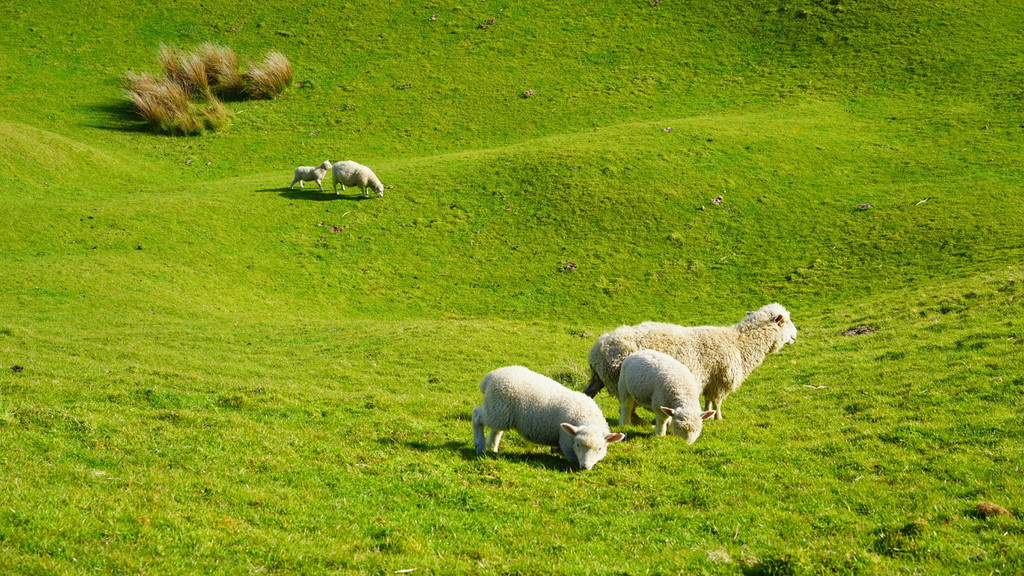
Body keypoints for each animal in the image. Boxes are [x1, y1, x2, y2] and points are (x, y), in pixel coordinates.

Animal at [471, 364, 622, 469]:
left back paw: (492, 447)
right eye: (578, 445)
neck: (587, 418)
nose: (585, 467)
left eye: (600, 448)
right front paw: (557, 451)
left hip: (500, 412)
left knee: (496, 429)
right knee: (477, 415)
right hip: (496, 409)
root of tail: (490, 376)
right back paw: (480, 446)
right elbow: (568, 454)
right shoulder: (566, 442)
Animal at [585, 303, 798, 420]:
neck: (739, 343)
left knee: (589, 392)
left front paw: (708, 413)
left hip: (599, 378)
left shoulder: (711, 381)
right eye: (787, 321)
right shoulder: (721, 381)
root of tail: (596, 350)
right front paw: (718, 417)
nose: (796, 335)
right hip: (622, 379)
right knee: (627, 407)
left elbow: (709, 400)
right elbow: (717, 402)